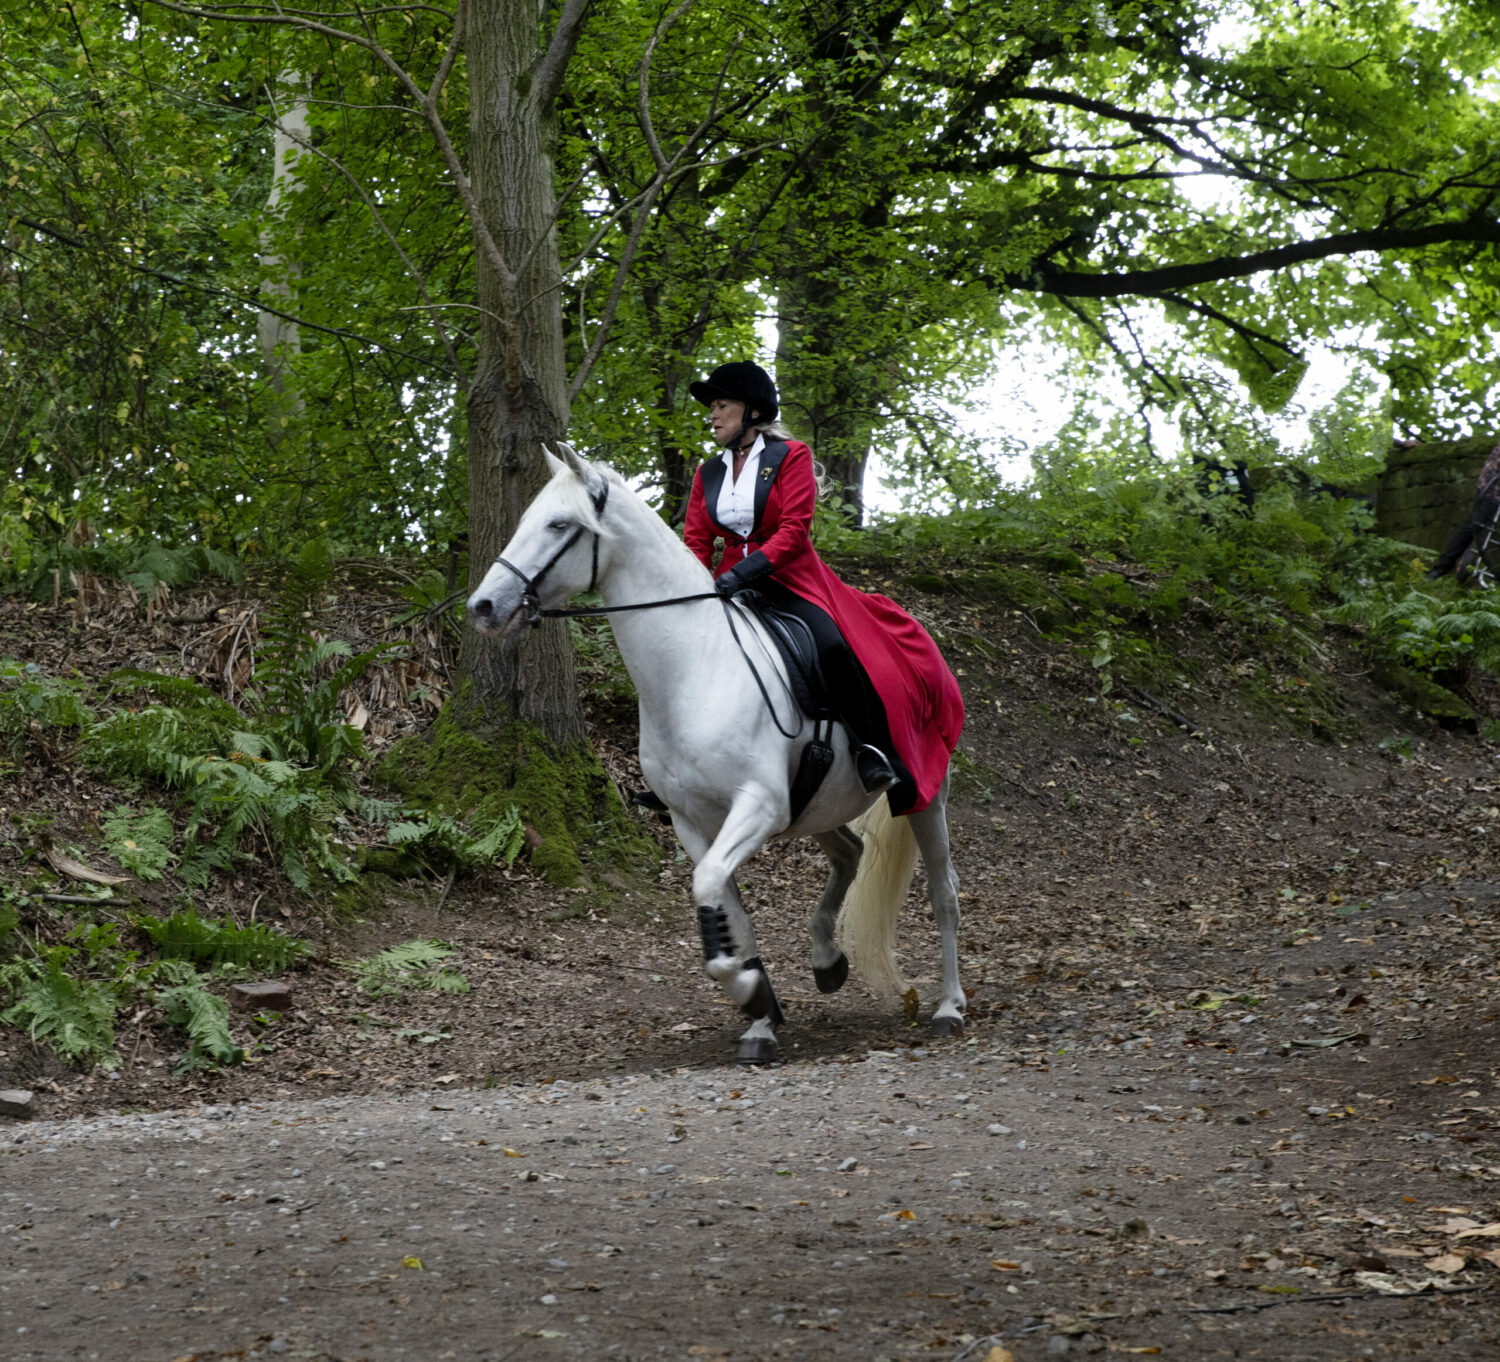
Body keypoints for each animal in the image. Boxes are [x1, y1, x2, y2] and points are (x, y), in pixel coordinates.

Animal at [467, 442, 964, 1064]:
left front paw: (747, 988)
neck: (693, 667)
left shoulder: (757, 807)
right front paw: (760, 1017)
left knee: (944, 894)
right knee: (849, 853)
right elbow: (730, 910)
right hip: (816, 804)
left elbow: (709, 891)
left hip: (925, 792)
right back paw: (827, 960)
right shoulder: (694, 821)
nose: (483, 606)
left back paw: (949, 1008)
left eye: (559, 524)